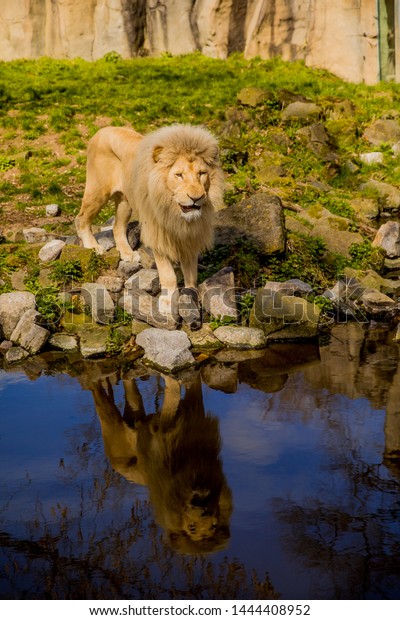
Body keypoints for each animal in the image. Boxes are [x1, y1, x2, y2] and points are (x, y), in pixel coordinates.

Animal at [75, 123, 225, 324]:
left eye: (202, 174)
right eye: (179, 175)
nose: (196, 197)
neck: (176, 213)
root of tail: (103, 129)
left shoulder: (190, 238)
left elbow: (191, 273)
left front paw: (191, 295)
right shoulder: (158, 234)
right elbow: (168, 275)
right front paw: (168, 302)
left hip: (126, 202)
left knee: (117, 227)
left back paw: (128, 253)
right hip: (98, 191)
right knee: (81, 218)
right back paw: (92, 246)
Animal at [87, 370, 231, 556]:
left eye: (214, 525)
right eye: (191, 528)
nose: (203, 511)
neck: (193, 473)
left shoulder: (196, 415)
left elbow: (193, 387)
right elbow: (172, 395)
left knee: (131, 393)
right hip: (114, 432)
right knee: (100, 401)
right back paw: (93, 383)